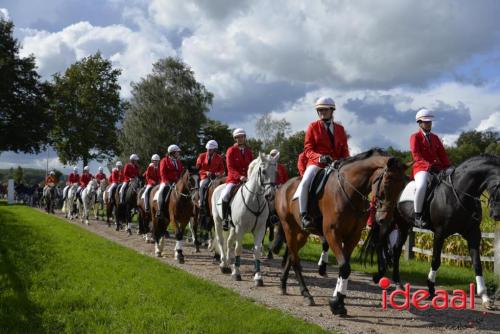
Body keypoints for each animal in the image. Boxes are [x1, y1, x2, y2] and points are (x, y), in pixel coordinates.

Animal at [210, 153, 278, 286]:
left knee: (229, 242)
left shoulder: (260, 230)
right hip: (218, 222)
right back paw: (224, 265)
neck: (254, 200)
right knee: (221, 240)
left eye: (275, 172)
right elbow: (238, 249)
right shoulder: (240, 229)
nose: (270, 195)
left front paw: (258, 277)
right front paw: (236, 273)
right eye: (264, 171)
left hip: (232, 227)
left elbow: (256, 251)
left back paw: (228, 263)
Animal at [276, 149, 408, 316]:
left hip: (302, 234)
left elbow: (344, 268)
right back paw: (306, 294)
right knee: (295, 260)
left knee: (291, 256)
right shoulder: (332, 233)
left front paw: (339, 302)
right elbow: (344, 267)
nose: (386, 219)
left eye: (402, 187)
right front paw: (336, 304)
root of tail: (283, 186)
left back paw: (283, 284)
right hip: (289, 228)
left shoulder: (353, 236)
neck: (350, 191)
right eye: (386, 183)